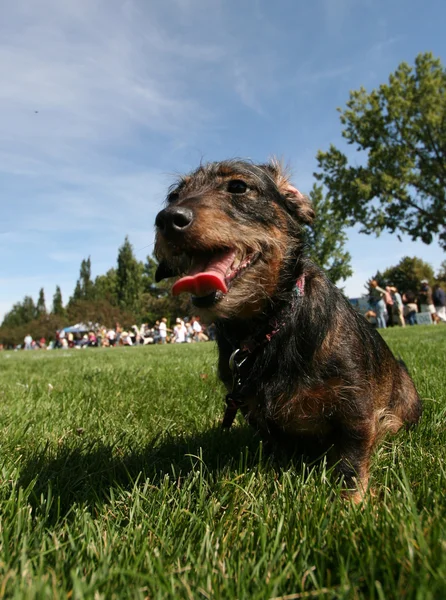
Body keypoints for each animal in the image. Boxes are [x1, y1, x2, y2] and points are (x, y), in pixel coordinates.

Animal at [154, 159, 422, 502]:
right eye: (174, 195)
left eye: (238, 186)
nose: (167, 219)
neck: (268, 328)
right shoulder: (256, 413)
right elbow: (276, 447)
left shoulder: (355, 404)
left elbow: (352, 454)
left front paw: (351, 501)